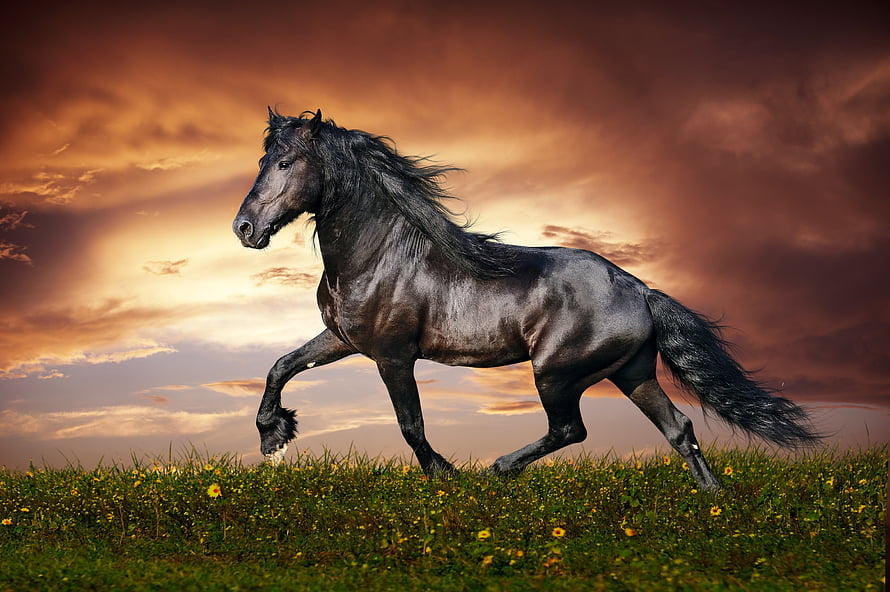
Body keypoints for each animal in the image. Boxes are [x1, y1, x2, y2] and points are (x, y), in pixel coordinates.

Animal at [232, 109, 820, 490]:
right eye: (263, 160)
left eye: (286, 163)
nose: (244, 228)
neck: (379, 254)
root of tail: (641, 290)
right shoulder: (344, 339)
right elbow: (281, 365)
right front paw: (274, 436)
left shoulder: (393, 355)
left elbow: (410, 424)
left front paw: (446, 476)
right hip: (632, 372)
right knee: (679, 428)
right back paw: (713, 502)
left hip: (556, 372)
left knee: (571, 429)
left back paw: (498, 469)